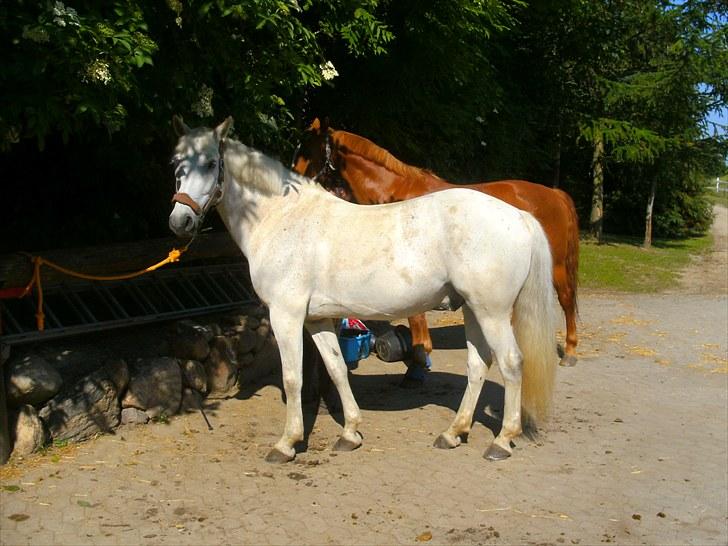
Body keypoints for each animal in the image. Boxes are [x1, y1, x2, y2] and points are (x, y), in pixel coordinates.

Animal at [292, 119, 580, 366]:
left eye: (308, 150)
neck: (395, 193)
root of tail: (554, 193)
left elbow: (416, 321)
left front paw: (420, 359)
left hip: (555, 268)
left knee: (566, 302)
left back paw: (570, 352)